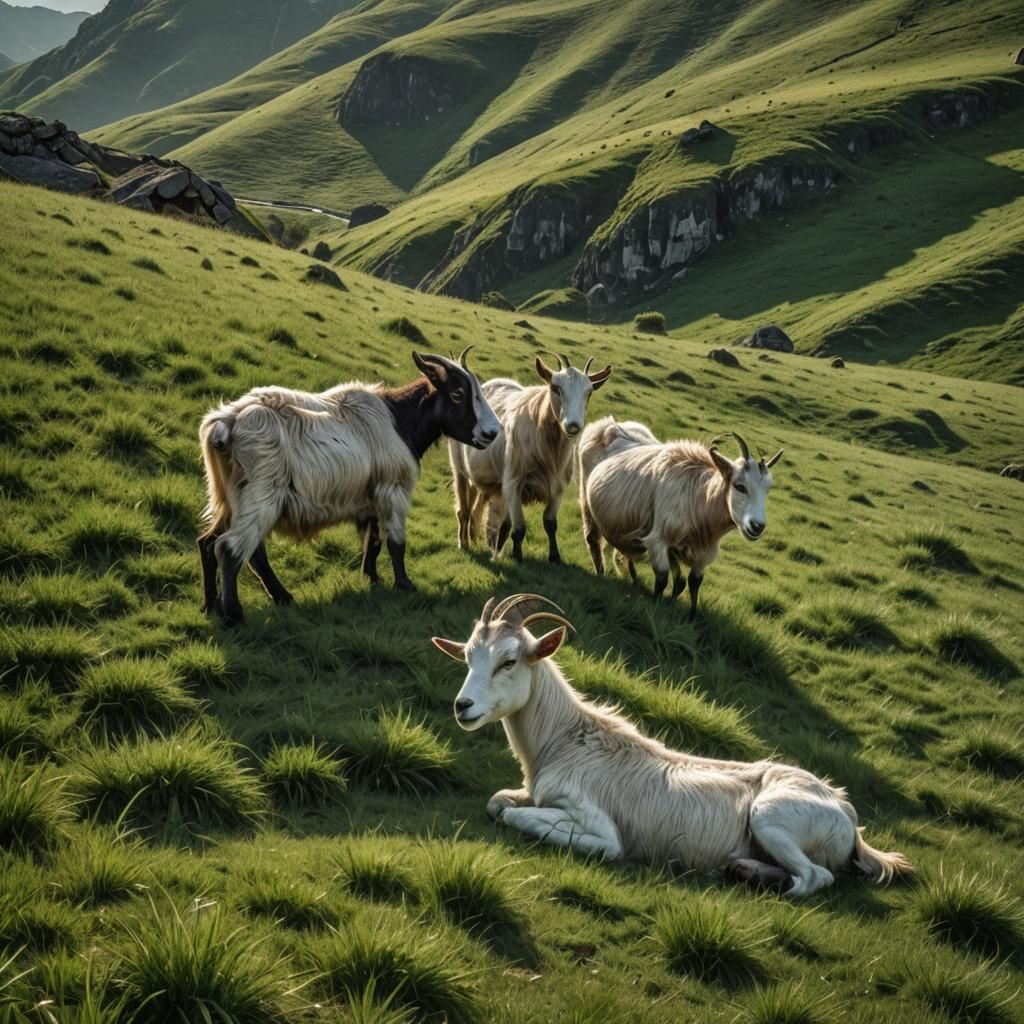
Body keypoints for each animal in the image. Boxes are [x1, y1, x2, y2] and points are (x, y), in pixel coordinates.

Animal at [198, 349, 499, 625]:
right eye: (458, 394)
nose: (492, 433)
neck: (399, 419)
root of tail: (227, 423)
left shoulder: (371, 496)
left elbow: (373, 540)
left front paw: (372, 578)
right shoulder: (394, 489)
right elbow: (396, 542)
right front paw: (404, 584)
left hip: (228, 497)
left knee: (211, 543)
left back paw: (220, 605)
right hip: (261, 493)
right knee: (230, 549)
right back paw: (234, 614)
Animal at [432, 594, 912, 898]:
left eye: (509, 661)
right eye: (468, 657)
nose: (462, 706)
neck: (566, 739)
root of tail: (846, 812)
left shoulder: (600, 825)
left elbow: (519, 816)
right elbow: (498, 801)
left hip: (770, 817)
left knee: (815, 878)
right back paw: (742, 869)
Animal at [448, 354, 611, 563]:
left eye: (588, 393)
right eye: (555, 388)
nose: (573, 426)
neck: (550, 449)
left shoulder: (557, 487)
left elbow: (548, 523)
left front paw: (554, 557)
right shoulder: (513, 483)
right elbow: (519, 528)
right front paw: (517, 557)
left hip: (487, 477)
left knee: (479, 506)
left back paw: (476, 538)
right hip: (459, 467)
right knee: (463, 509)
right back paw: (464, 544)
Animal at [579, 425, 782, 619]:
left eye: (767, 490)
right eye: (740, 486)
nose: (757, 526)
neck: (699, 496)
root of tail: (609, 425)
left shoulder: (697, 552)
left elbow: (689, 583)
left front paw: (689, 617)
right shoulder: (658, 541)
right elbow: (662, 579)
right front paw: (655, 608)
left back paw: (634, 582)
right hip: (587, 504)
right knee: (592, 541)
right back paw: (601, 575)